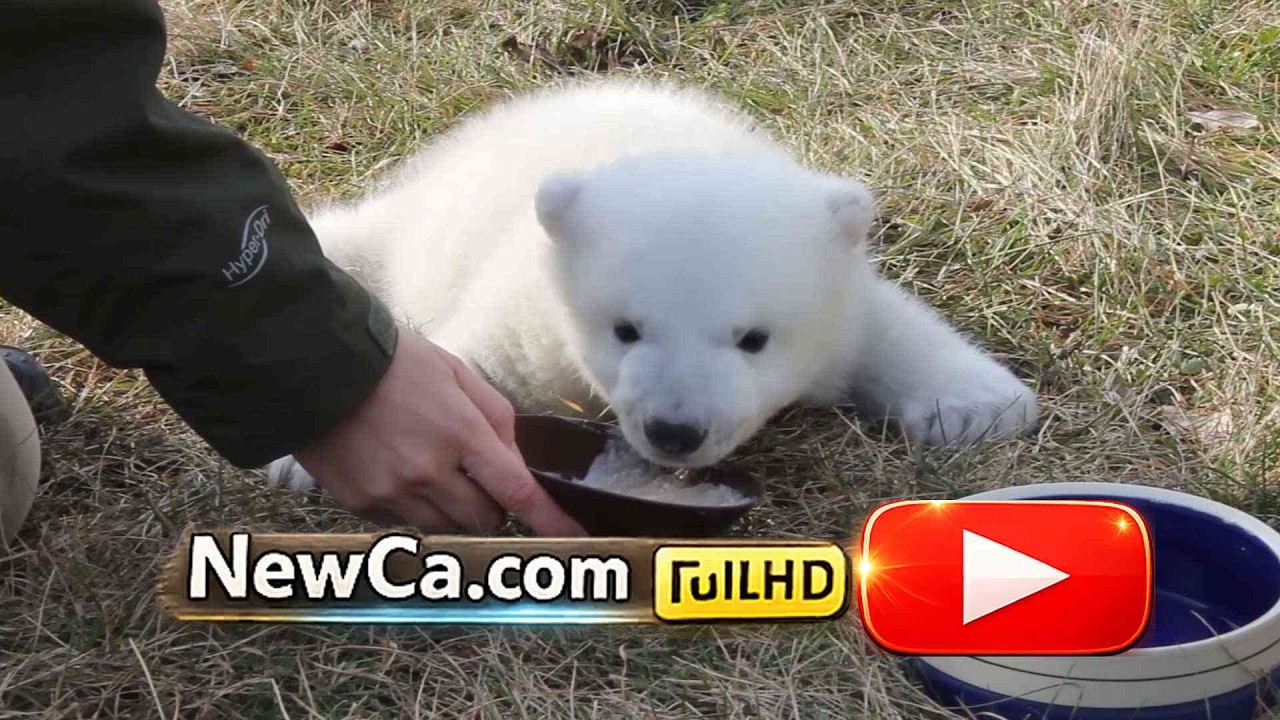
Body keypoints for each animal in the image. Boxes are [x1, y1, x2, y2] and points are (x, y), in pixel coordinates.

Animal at [270, 80, 1037, 490]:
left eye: (753, 339)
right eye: (626, 329)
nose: (675, 430)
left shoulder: (838, 279)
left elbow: (882, 323)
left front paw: (975, 405)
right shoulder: (531, 312)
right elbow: (470, 360)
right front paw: (324, 450)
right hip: (415, 226)